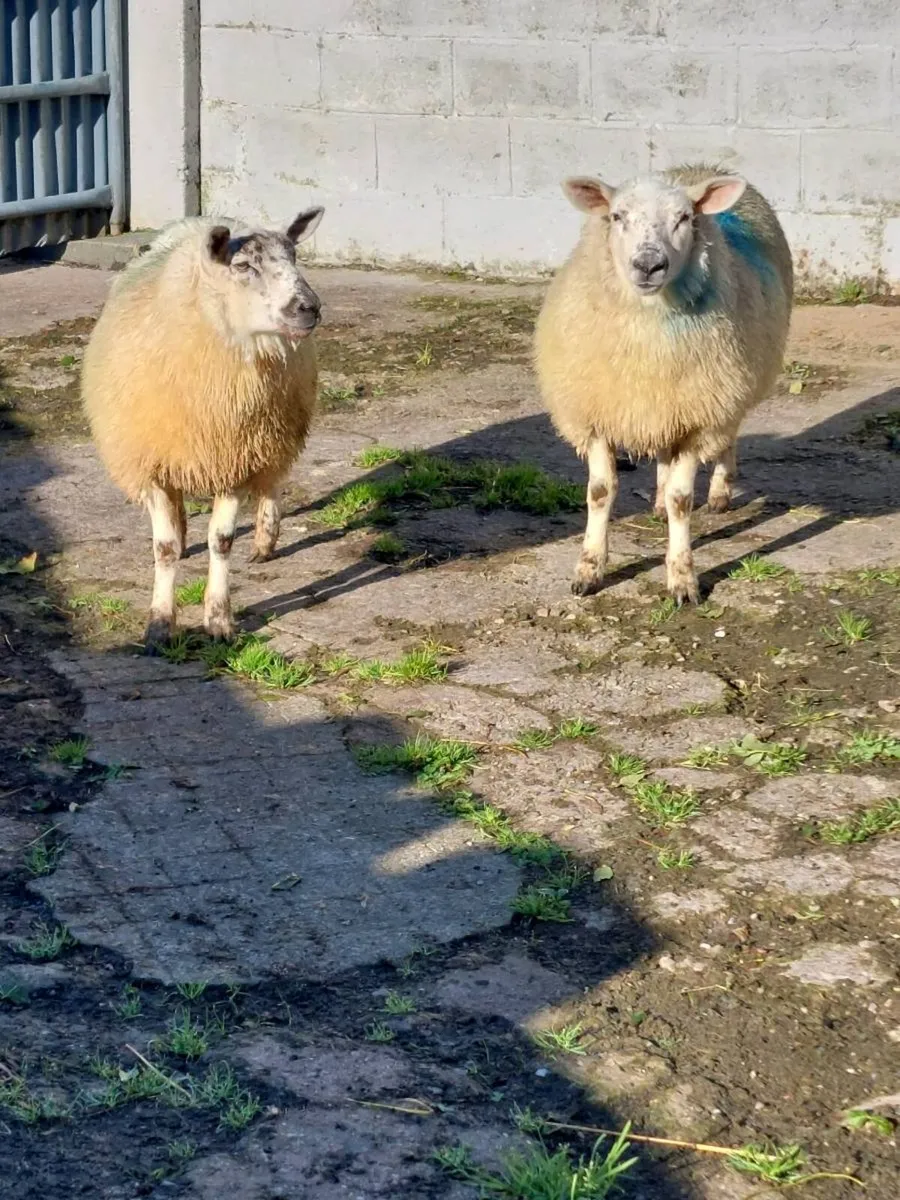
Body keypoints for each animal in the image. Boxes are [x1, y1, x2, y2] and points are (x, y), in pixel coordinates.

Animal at [81, 207, 325, 646]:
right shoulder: (153, 463)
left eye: (295, 257)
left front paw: (218, 620)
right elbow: (163, 548)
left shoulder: (236, 456)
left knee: (272, 480)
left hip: (277, 433)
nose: (309, 307)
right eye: (243, 266)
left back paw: (265, 537)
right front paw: (160, 624)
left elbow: (222, 541)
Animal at [534, 164, 793, 604]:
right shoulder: (598, 412)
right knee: (663, 456)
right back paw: (655, 500)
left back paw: (720, 492)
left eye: (685, 218)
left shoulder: (699, 416)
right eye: (617, 216)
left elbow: (682, 499)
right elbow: (600, 492)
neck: (648, 341)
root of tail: (702, 168)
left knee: (726, 438)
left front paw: (683, 578)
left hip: (728, 388)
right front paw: (588, 570)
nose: (648, 264)